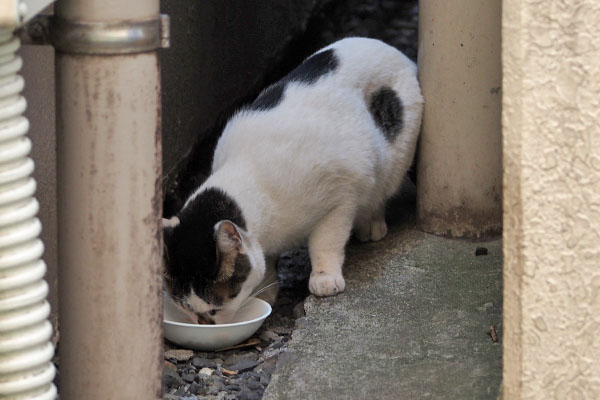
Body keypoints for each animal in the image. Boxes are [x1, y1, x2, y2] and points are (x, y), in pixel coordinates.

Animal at [159, 38, 422, 324]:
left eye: (214, 309)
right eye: (186, 309)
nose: (205, 324)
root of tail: (393, 50)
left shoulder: (341, 196)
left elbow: (326, 241)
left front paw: (324, 279)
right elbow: (267, 263)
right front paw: (266, 291)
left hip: (394, 158)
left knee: (380, 190)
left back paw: (371, 223)